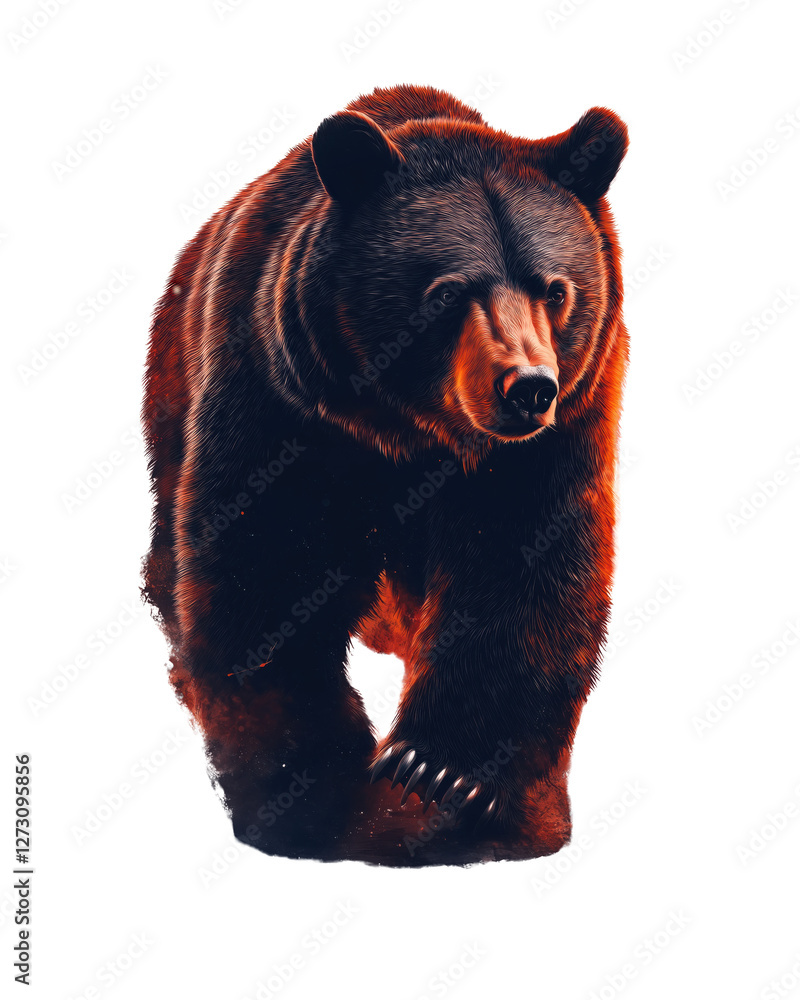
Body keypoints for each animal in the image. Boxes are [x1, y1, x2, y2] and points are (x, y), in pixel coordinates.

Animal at [142, 84, 629, 867]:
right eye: (448, 291)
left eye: (555, 289)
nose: (529, 387)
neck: (412, 433)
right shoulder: (284, 404)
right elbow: (264, 571)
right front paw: (312, 785)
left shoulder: (552, 440)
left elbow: (525, 570)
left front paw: (440, 771)